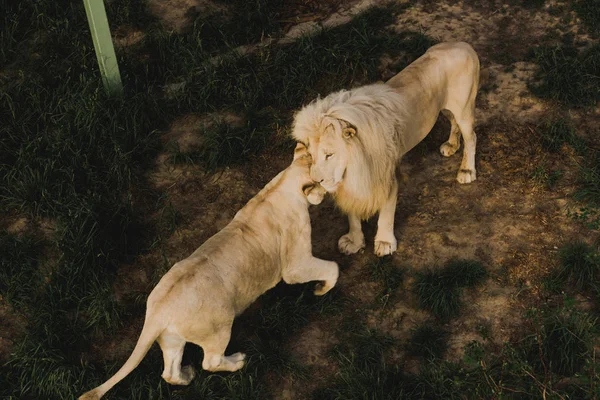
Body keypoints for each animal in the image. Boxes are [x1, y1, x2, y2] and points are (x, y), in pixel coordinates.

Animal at [78, 145, 338, 400]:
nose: (329, 190)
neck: (280, 186)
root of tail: (158, 312)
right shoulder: (296, 265)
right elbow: (331, 268)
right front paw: (321, 289)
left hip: (171, 338)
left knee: (169, 372)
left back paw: (186, 375)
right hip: (218, 327)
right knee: (211, 362)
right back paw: (237, 361)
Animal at [292, 41, 482, 256]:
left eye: (329, 154)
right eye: (310, 156)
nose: (317, 180)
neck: (355, 166)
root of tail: (463, 44)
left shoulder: (385, 178)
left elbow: (386, 214)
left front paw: (384, 243)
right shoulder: (353, 184)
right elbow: (353, 216)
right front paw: (354, 242)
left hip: (463, 108)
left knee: (471, 137)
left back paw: (467, 170)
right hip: (445, 108)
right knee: (454, 123)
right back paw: (451, 145)